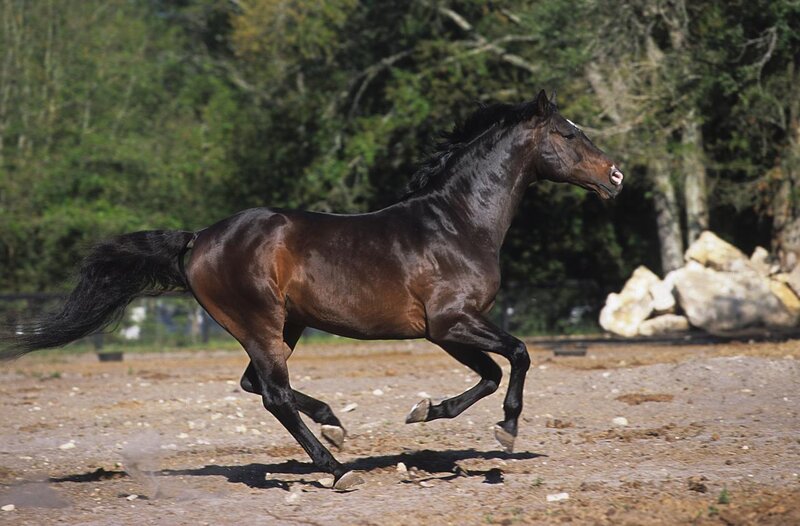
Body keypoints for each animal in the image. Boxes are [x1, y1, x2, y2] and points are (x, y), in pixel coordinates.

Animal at [1, 90, 623, 490]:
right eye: (568, 133)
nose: (616, 176)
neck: (457, 223)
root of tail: (199, 238)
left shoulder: (446, 331)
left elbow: (490, 373)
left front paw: (425, 413)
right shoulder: (451, 321)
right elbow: (518, 354)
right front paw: (508, 432)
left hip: (287, 324)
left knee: (257, 384)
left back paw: (334, 425)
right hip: (260, 323)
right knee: (272, 392)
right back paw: (335, 465)